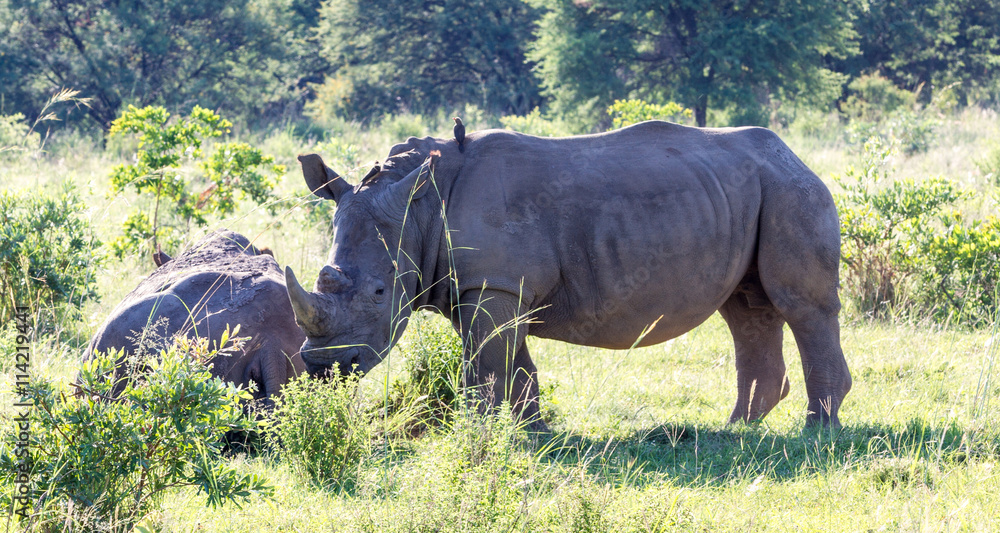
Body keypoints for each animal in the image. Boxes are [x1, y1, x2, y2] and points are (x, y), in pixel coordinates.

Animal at [285, 121, 852, 427]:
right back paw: (736, 428)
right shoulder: (485, 284)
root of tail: (794, 155)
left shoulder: (493, 283)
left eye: (380, 293)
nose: (324, 368)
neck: (420, 206)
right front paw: (530, 431)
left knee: (800, 306)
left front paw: (481, 432)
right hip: (745, 193)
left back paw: (817, 429)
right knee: (746, 307)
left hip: (790, 188)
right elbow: (509, 360)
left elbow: (486, 360)